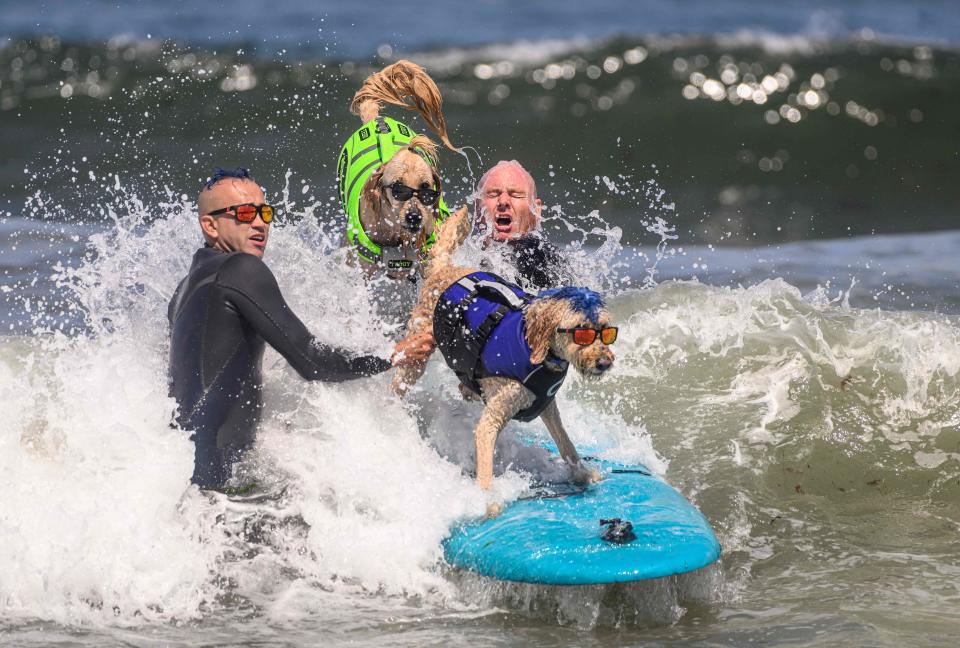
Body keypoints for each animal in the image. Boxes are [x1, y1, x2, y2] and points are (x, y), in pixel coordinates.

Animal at [336, 61, 460, 330]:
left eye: (426, 189)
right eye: (398, 188)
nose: (414, 217)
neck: (397, 236)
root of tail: (377, 121)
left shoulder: (427, 260)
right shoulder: (366, 269)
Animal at [394, 205, 620, 504]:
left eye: (605, 330)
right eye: (580, 331)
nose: (605, 363)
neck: (535, 349)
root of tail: (445, 269)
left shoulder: (546, 405)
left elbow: (566, 443)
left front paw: (582, 473)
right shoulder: (492, 418)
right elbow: (485, 463)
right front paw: (486, 500)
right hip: (415, 356)